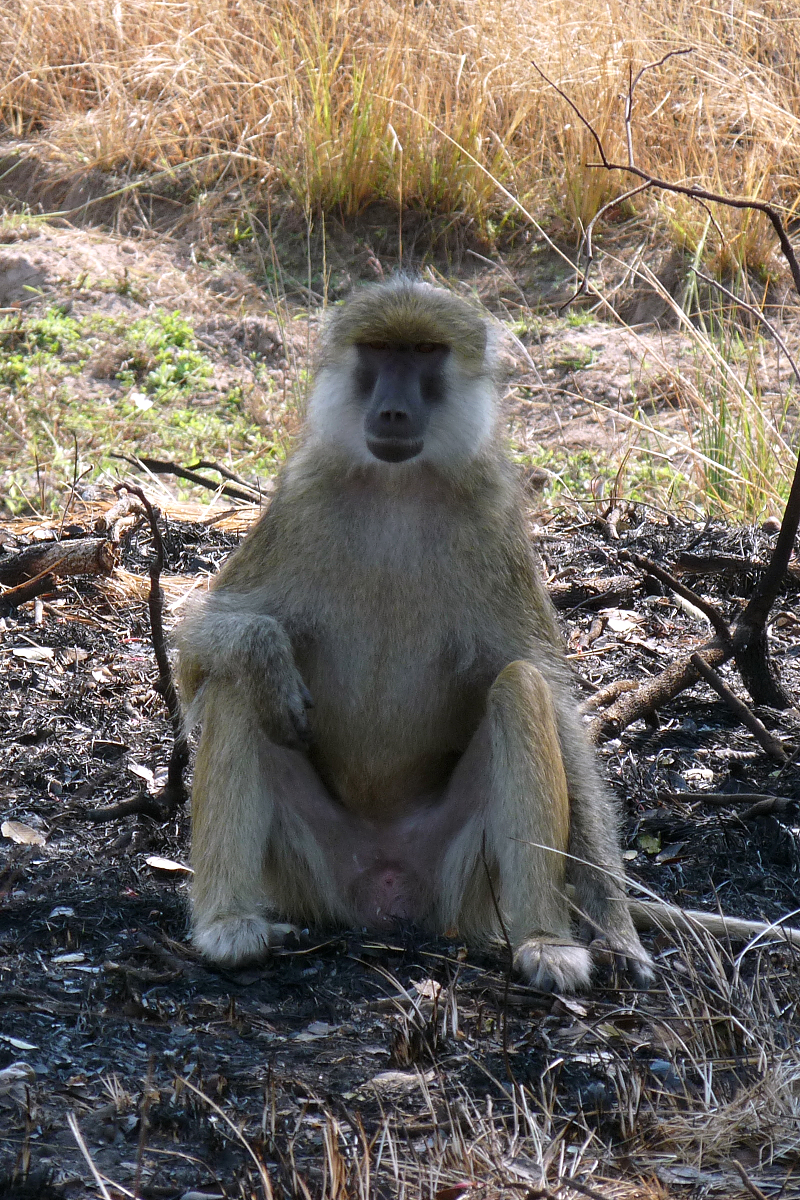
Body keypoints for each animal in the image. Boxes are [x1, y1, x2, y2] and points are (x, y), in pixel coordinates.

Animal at [175, 278, 654, 993]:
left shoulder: (494, 521)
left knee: (520, 689)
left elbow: (551, 694)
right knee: (239, 689)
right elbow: (199, 651)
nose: (394, 411)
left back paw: (546, 941)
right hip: (310, 875)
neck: (398, 485)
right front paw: (265, 653)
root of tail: (384, 895)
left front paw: (616, 926)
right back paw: (229, 925)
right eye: (379, 350)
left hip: (463, 886)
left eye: (425, 353)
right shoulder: (299, 502)